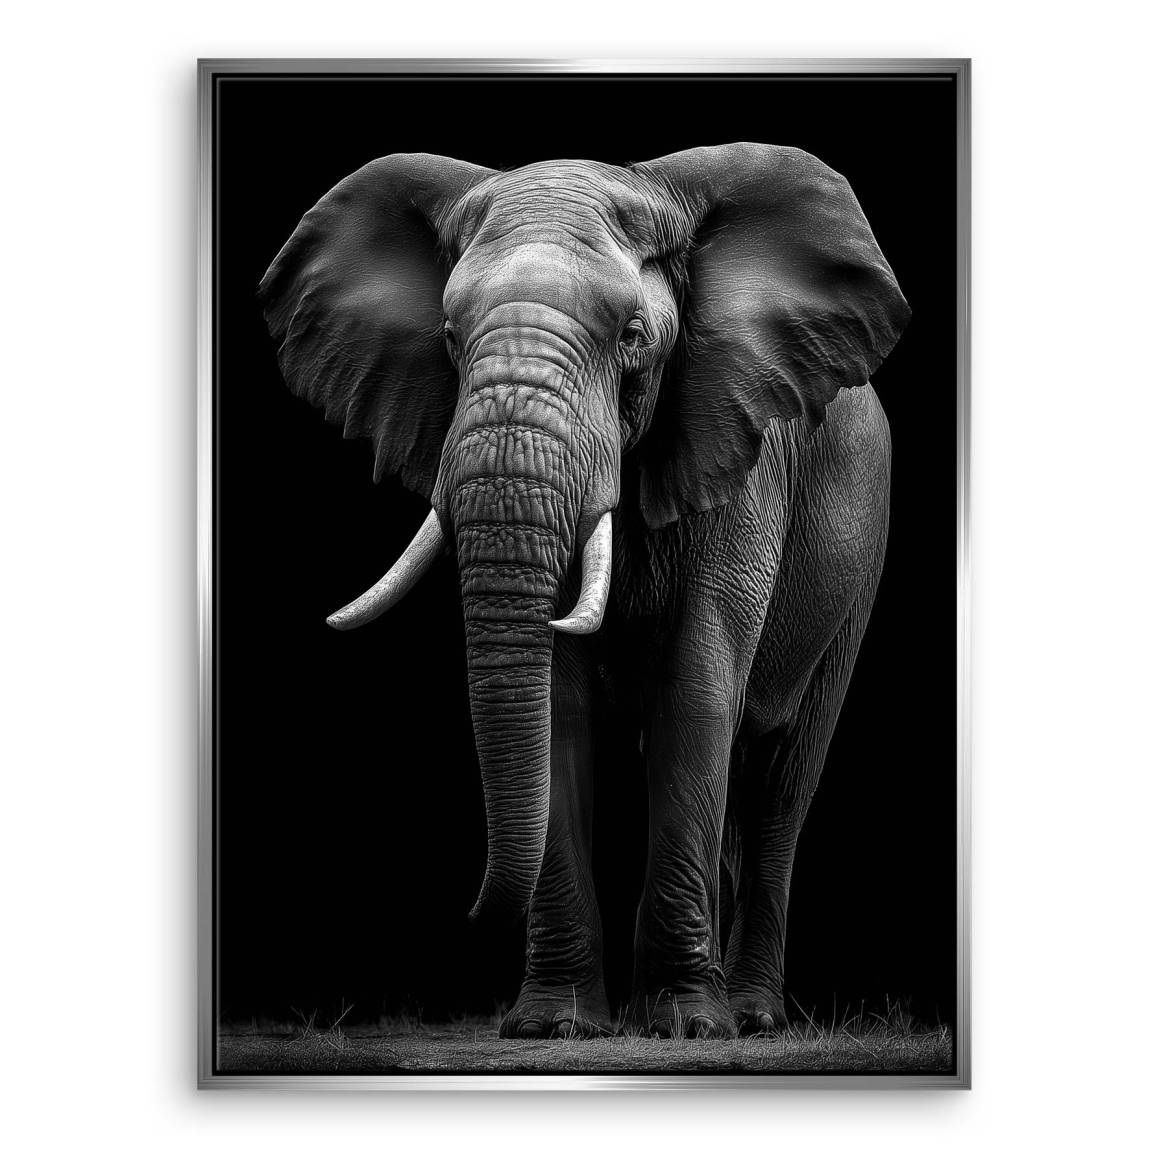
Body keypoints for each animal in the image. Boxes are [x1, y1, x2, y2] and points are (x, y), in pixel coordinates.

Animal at [260, 142, 909, 1039]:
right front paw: (553, 1025)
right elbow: (558, 706)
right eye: (450, 338)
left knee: (781, 777)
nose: (464, 912)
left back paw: (749, 1015)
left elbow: (697, 687)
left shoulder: (737, 452)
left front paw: (686, 1027)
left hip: (860, 549)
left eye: (633, 337)